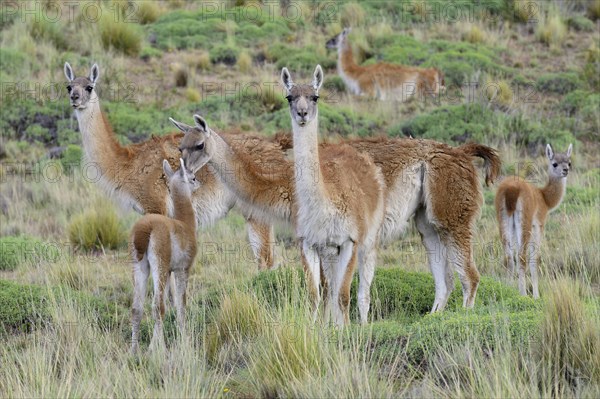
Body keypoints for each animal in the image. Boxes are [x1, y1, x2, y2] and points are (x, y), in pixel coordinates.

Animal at [129, 159, 199, 354]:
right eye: (192, 177)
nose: (198, 183)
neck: (185, 225)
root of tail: (145, 229)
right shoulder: (182, 269)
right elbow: (181, 305)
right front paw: (185, 340)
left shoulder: (169, 271)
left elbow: (171, 303)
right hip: (158, 265)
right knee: (157, 306)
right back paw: (154, 349)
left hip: (140, 266)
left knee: (137, 308)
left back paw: (134, 350)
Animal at [494, 145, 576, 298]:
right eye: (554, 163)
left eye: (569, 163)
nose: (565, 170)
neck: (544, 198)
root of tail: (511, 190)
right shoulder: (538, 224)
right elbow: (535, 258)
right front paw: (536, 296)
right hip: (524, 221)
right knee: (521, 256)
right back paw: (523, 294)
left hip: (503, 219)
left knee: (508, 257)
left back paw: (508, 290)